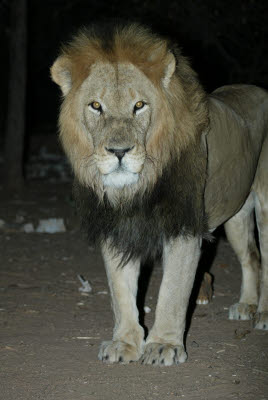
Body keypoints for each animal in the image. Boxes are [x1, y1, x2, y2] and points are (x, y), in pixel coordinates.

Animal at [50, 21, 268, 366]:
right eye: (96, 106)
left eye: (139, 105)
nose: (119, 152)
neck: (136, 188)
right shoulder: (117, 228)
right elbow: (120, 291)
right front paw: (125, 343)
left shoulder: (183, 226)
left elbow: (173, 290)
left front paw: (164, 345)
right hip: (235, 212)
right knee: (252, 257)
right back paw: (246, 306)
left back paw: (263, 314)